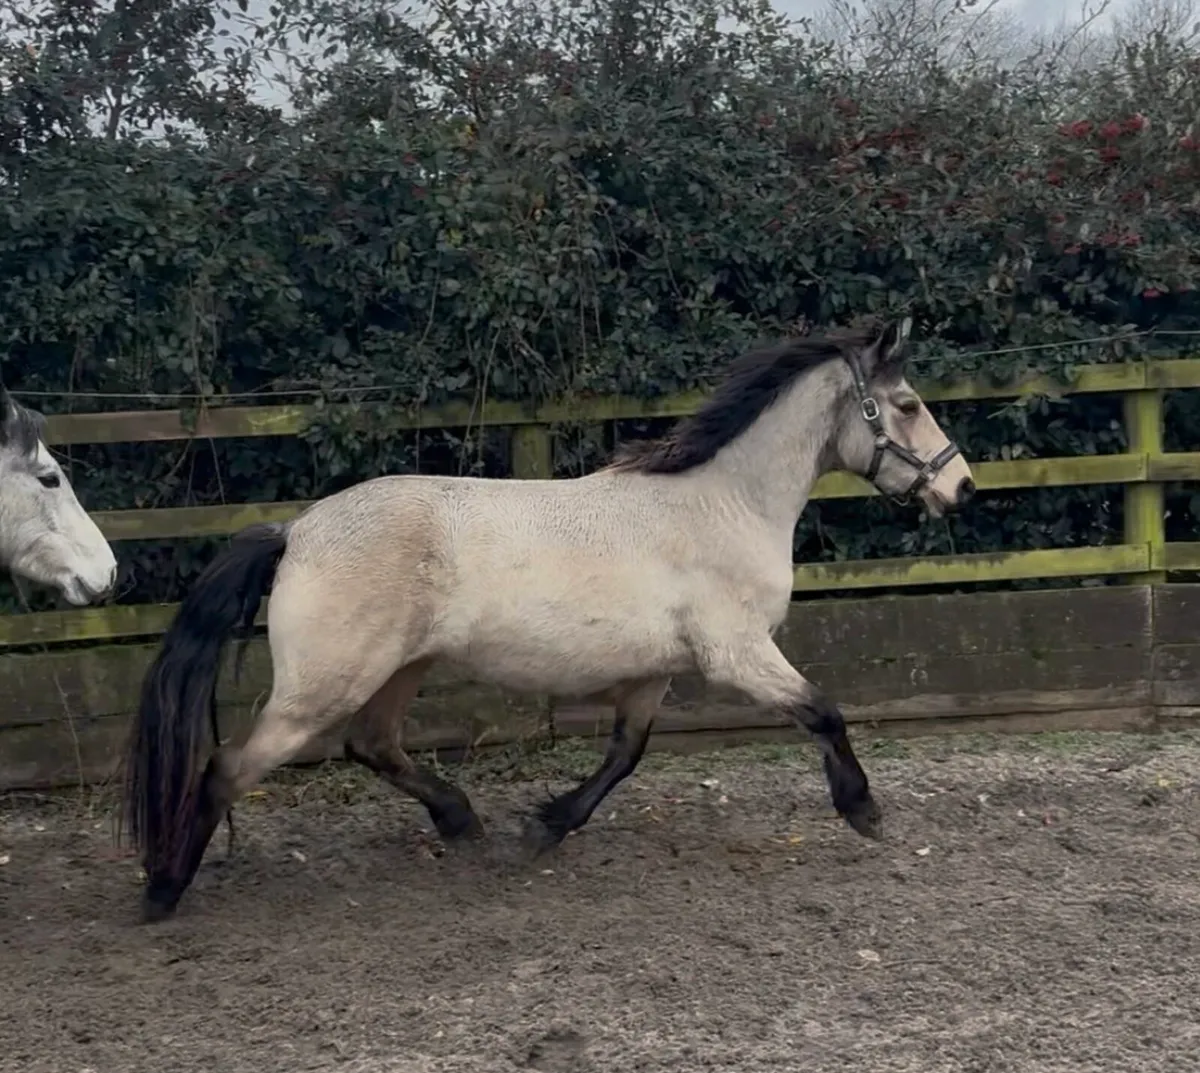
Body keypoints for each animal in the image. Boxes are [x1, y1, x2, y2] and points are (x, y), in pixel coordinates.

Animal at [122, 316, 975, 921]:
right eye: (907, 404)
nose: (960, 487)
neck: (723, 503)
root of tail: (295, 529)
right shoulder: (736, 653)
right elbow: (824, 710)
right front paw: (863, 810)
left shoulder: (654, 673)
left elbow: (625, 756)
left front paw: (546, 826)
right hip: (326, 684)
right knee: (228, 767)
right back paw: (162, 890)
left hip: (400, 667)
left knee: (372, 744)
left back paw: (462, 821)